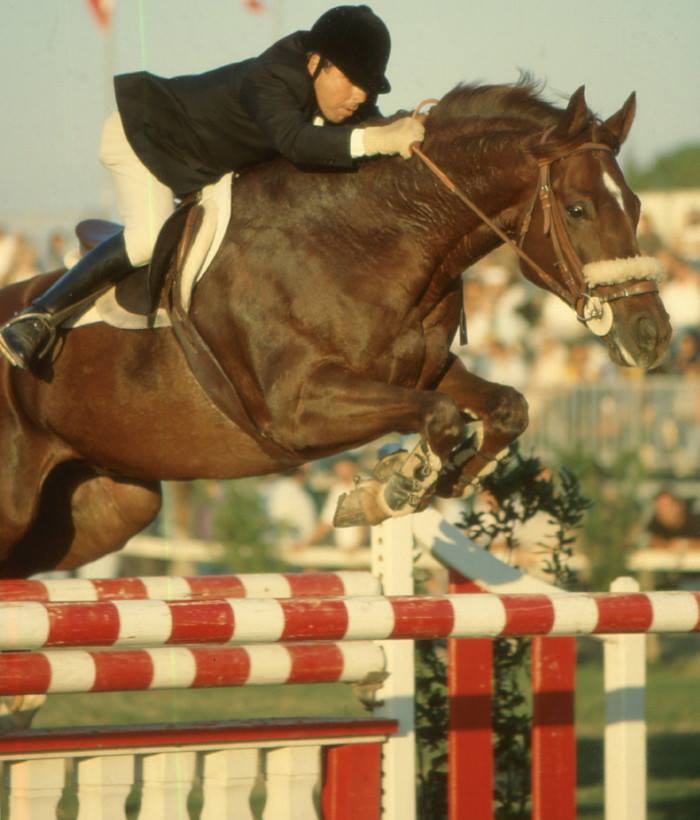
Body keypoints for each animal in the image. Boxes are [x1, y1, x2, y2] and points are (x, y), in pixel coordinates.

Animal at [0, 80, 672, 572]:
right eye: (578, 209)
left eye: (638, 205)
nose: (653, 336)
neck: (369, 240)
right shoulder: (298, 410)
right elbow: (440, 417)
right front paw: (391, 488)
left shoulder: (423, 369)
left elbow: (505, 407)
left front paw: (441, 479)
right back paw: (24, 335)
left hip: (108, 509)